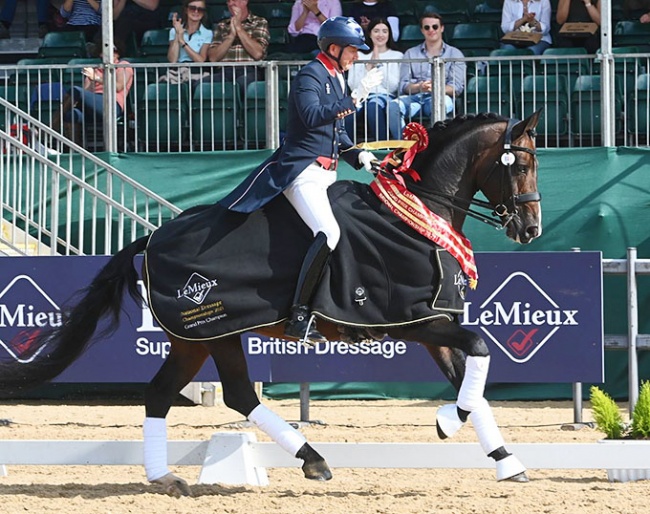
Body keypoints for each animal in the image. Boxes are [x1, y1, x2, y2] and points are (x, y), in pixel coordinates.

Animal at [0, 110, 540, 494]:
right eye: (521, 163)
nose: (531, 229)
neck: (415, 216)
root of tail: (152, 239)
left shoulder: (434, 324)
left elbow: (473, 380)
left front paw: (506, 461)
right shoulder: (413, 322)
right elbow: (479, 352)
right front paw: (448, 423)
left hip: (199, 339)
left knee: (173, 394)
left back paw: (168, 478)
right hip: (213, 331)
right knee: (235, 395)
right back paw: (312, 461)